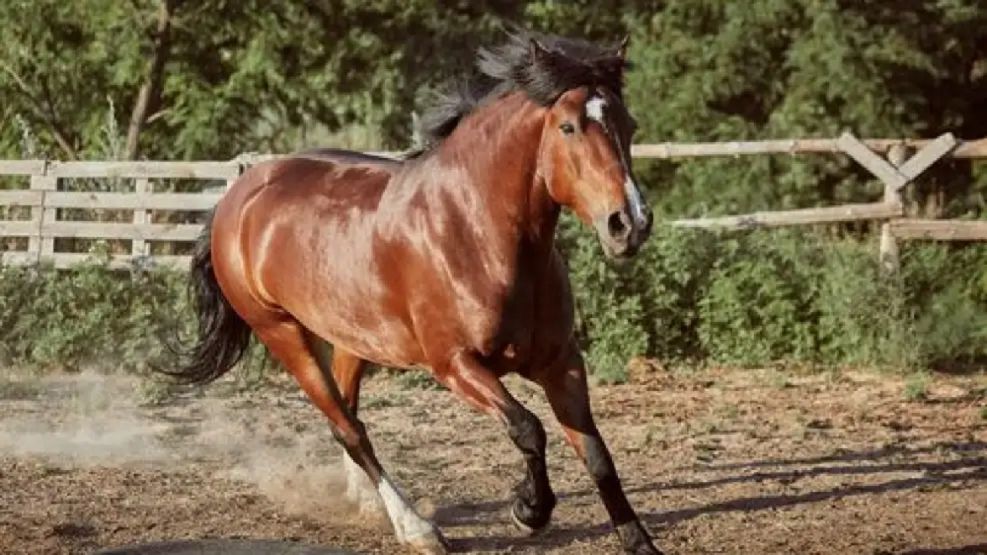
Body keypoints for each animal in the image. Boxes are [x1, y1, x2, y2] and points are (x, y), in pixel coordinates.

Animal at [166, 29, 659, 554]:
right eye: (568, 127)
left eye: (629, 124)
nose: (630, 224)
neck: (475, 231)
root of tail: (237, 196)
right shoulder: (455, 365)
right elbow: (528, 428)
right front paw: (529, 511)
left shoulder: (560, 361)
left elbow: (596, 453)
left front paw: (637, 541)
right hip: (282, 334)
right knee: (349, 430)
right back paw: (417, 528)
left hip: (352, 337)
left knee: (349, 416)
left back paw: (368, 505)